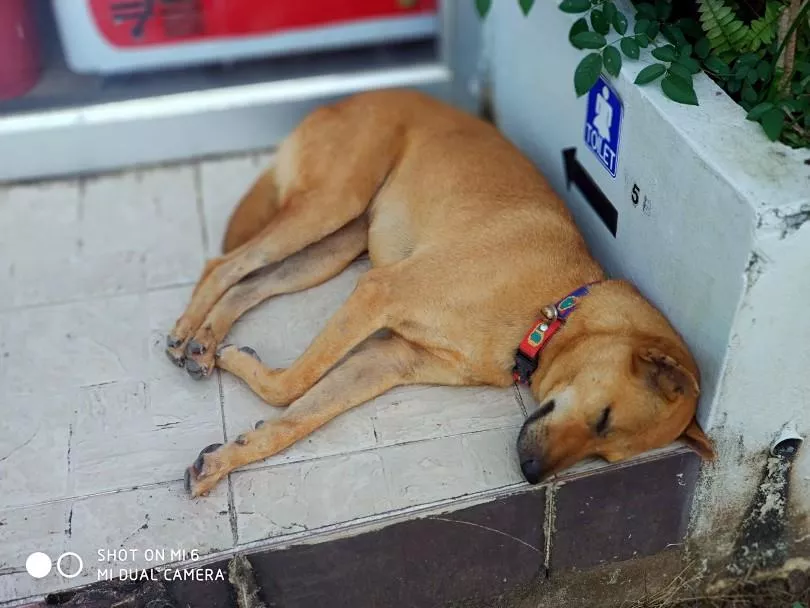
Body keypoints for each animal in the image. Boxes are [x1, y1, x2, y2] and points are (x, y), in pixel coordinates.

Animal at [166, 90, 712, 498]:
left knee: (253, 282)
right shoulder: (379, 291)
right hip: (332, 205)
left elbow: (295, 418)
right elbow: (292, 385)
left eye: (604, 454)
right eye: (603, 418)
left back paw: (207, 340)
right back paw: (186, 331)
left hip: (334, 247)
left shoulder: (388, 360)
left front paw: (226, 458)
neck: (552, 311)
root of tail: (358, 95)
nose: (531, 474)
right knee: (224, 264)